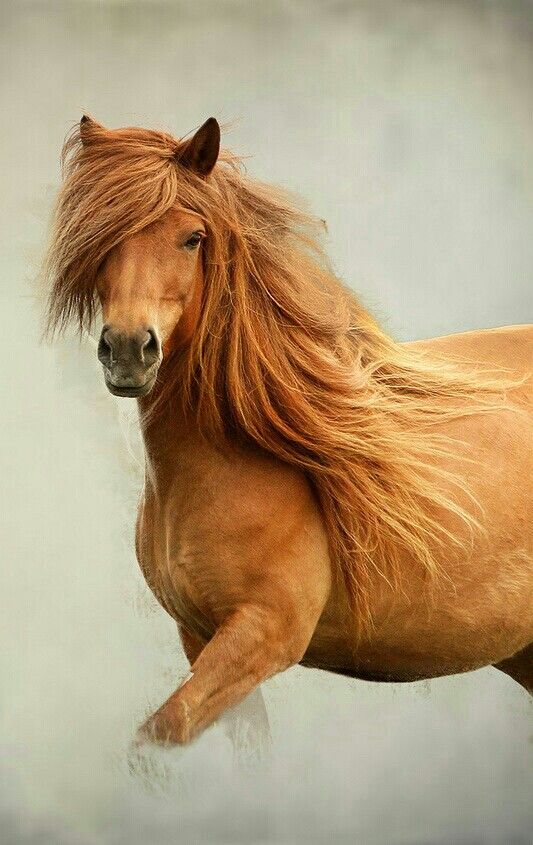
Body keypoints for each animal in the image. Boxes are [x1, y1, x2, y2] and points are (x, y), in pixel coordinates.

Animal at [43, 113, 528, 744]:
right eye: (103, 236)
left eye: (192, 238)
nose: (128, 350)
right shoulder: (202, 642)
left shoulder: (263, 636)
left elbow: (159, 734)